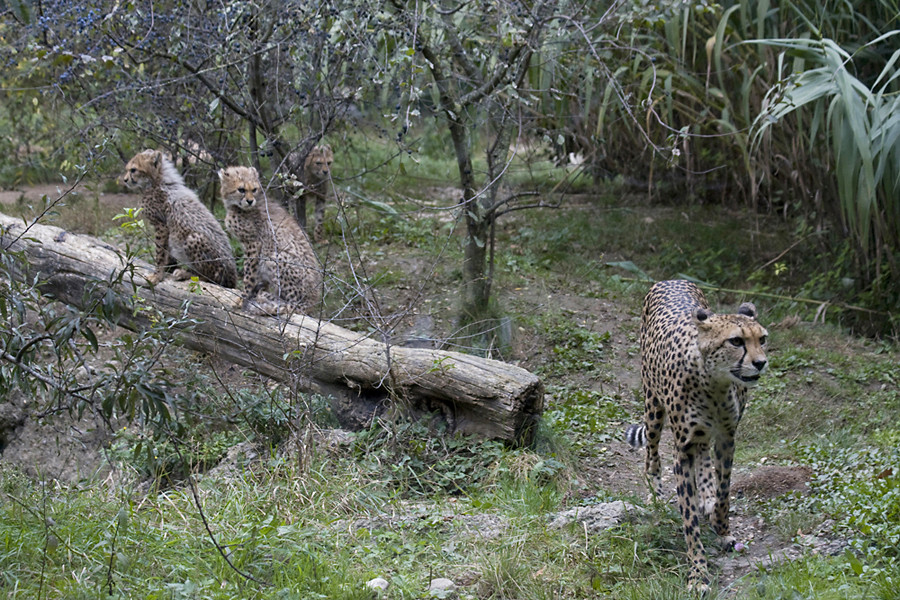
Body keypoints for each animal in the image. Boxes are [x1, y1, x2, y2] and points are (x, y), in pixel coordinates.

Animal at [121, 149, 237, 288]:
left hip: (194, 238)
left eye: (133, 170)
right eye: (128, 169)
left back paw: (185, 273)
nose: (125, 180)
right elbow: (167, 253)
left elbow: (160, 253)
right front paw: (168, 269)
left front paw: (157, 276)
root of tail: (233, 276)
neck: (157, 181)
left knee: (211, 278)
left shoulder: (161, 226)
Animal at [219, 164, 324, 314]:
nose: (250, 201)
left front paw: (242, 298)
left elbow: (249, 276)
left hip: (273, 256)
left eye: (254, 189)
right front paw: (253, 294)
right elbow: (257, 277)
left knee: (293, 305)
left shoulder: (254, 243)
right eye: (241, 189)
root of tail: (312, 301)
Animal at [624, 282, 768, 592]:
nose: (761, 363)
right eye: (736, 341)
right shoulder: (683, 449)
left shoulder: (727, 436)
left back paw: (706, 498)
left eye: (762, 339)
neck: (714, 383)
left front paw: (722, 527)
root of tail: (671, 280)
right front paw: (698, 573)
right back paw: (657, 494)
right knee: (652, 456)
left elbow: (724, 490)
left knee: (703, 458)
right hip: (653, 408)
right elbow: (689, 518)